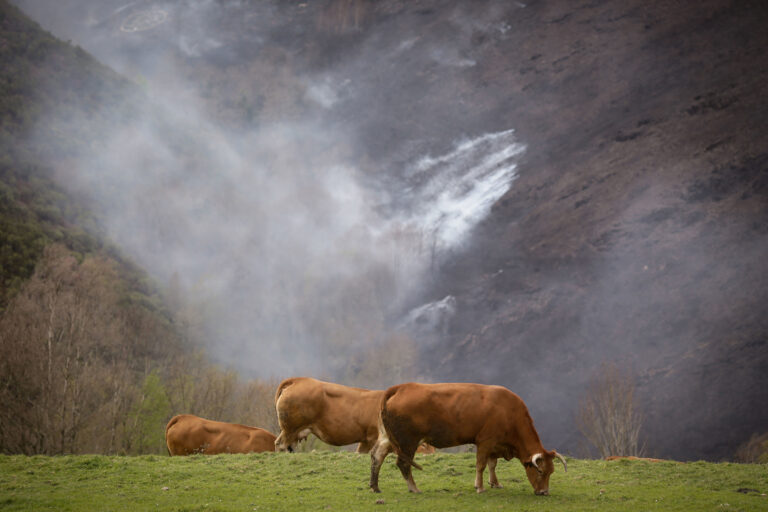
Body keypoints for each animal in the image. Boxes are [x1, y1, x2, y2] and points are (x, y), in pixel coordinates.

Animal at [368, 384, 568, 496]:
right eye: (540, 471)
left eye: (551, 472)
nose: (544, 492)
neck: (508, 411)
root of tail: (403, 386)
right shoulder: (485, 441)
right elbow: (481, 465)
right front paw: (480, 487)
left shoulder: (495, 445)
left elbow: (492, 464)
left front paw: (495, 483)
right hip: (408, 441)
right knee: (403, 463)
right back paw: (414, 488)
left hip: (387, 438)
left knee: (377, 456)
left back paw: (375, 487)